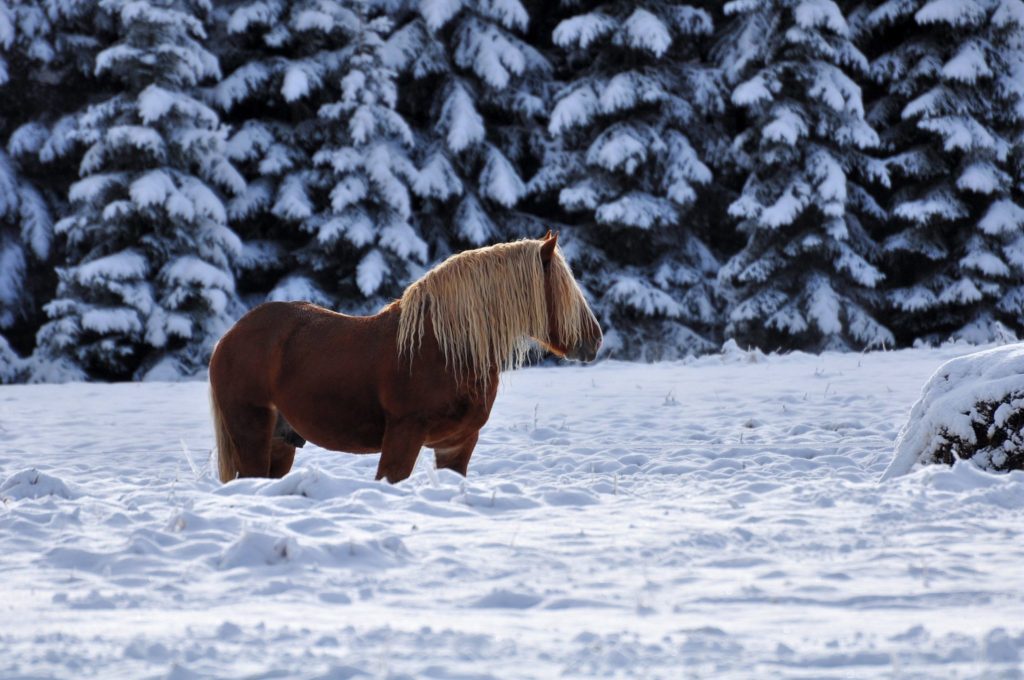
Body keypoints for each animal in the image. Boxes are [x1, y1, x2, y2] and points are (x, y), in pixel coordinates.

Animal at [210, 233, 602, 483]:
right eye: (562, 290)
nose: (595, 340)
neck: (444, 350)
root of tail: (228, 338)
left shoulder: (457, 444)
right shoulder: (404, 435)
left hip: (280, 444)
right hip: (252, 433)